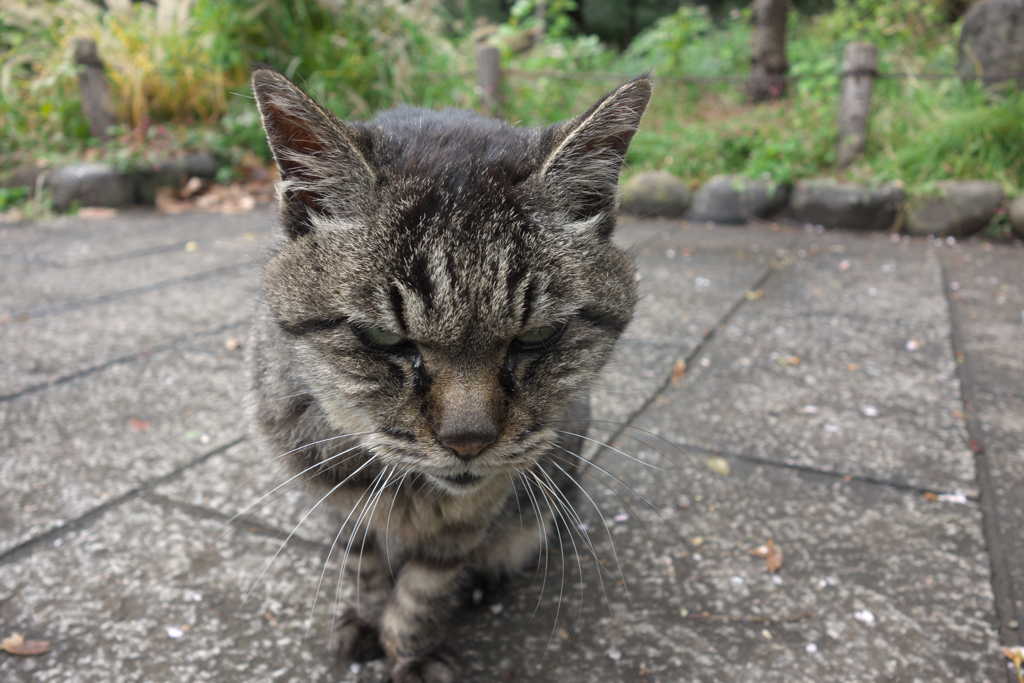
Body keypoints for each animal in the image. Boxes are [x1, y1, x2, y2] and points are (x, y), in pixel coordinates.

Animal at [244, 65, 651, 683]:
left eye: (537, 336)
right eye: (385, 338)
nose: (468, 441)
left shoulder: (475, 515)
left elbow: (424, 590)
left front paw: (410, 652)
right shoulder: (340, 502)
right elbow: (364, 566)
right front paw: (366, 619)